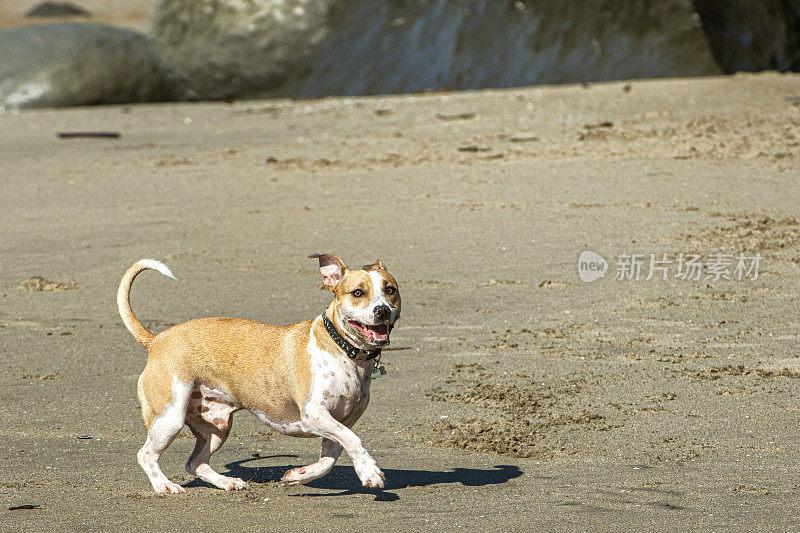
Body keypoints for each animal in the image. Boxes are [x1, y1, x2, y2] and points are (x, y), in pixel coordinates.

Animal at [118, 255, 400, 494]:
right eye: (358, 293)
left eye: (390, 290)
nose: (382, 310)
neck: (344, 352)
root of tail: (156, 340)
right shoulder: (314, 415)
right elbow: (353, 441)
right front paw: (370, 472)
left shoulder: (341, 421)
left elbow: (329, 460)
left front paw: (298, 475)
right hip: (170, 418)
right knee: (146, 454)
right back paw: (164, 485)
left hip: (217, 427)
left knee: (195, 463)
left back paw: (227, 482)